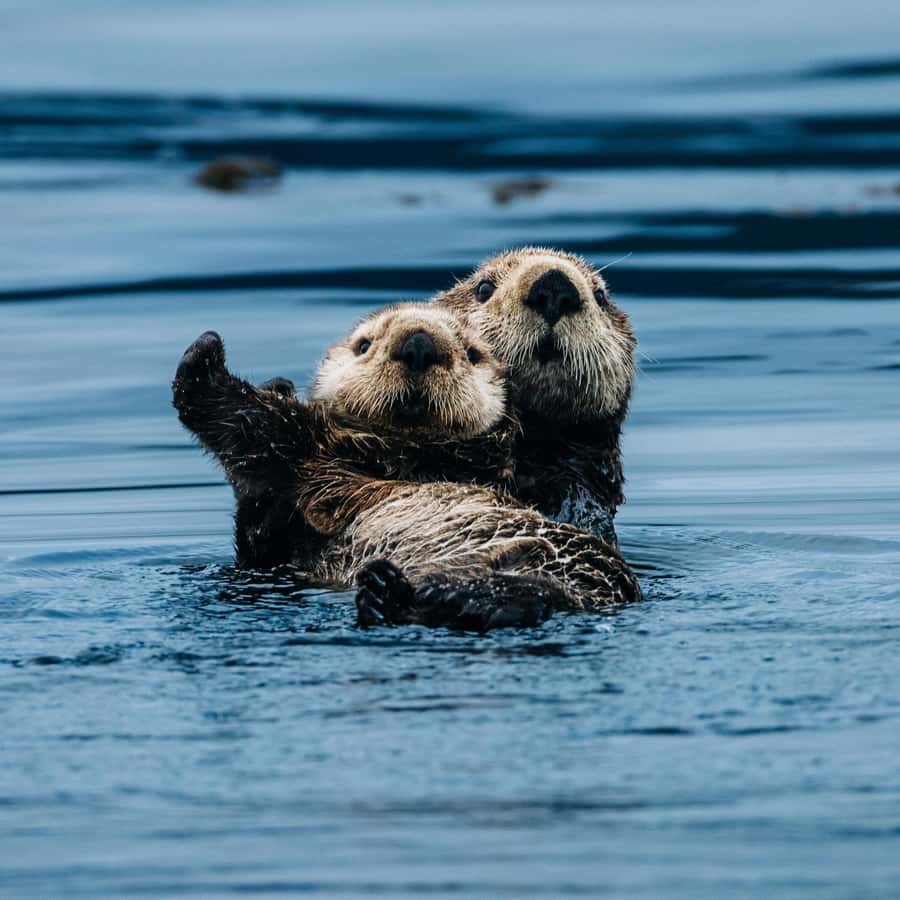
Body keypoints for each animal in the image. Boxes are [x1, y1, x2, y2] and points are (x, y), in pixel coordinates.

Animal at [173, 304, 641, 630]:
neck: (415, 455)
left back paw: (432, 591)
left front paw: (205, 357)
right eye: (364, 344)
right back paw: (391, 593)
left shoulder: (323, 455)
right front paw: (273, 383)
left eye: (472, 353)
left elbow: (260, 424)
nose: (418, 344)